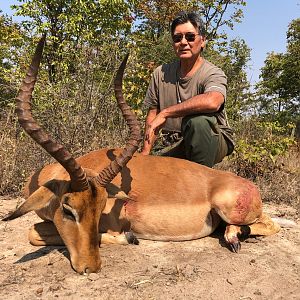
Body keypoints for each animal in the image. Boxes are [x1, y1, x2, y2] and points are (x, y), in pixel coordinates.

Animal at [1, 36, 282, 274]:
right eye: (68, 210)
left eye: (101, 207)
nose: (91, 267)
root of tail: (248, 185)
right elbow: (33, 231)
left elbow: (36, 232)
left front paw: (129, 238)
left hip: (230, 209)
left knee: (270, 224)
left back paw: (233, 238)